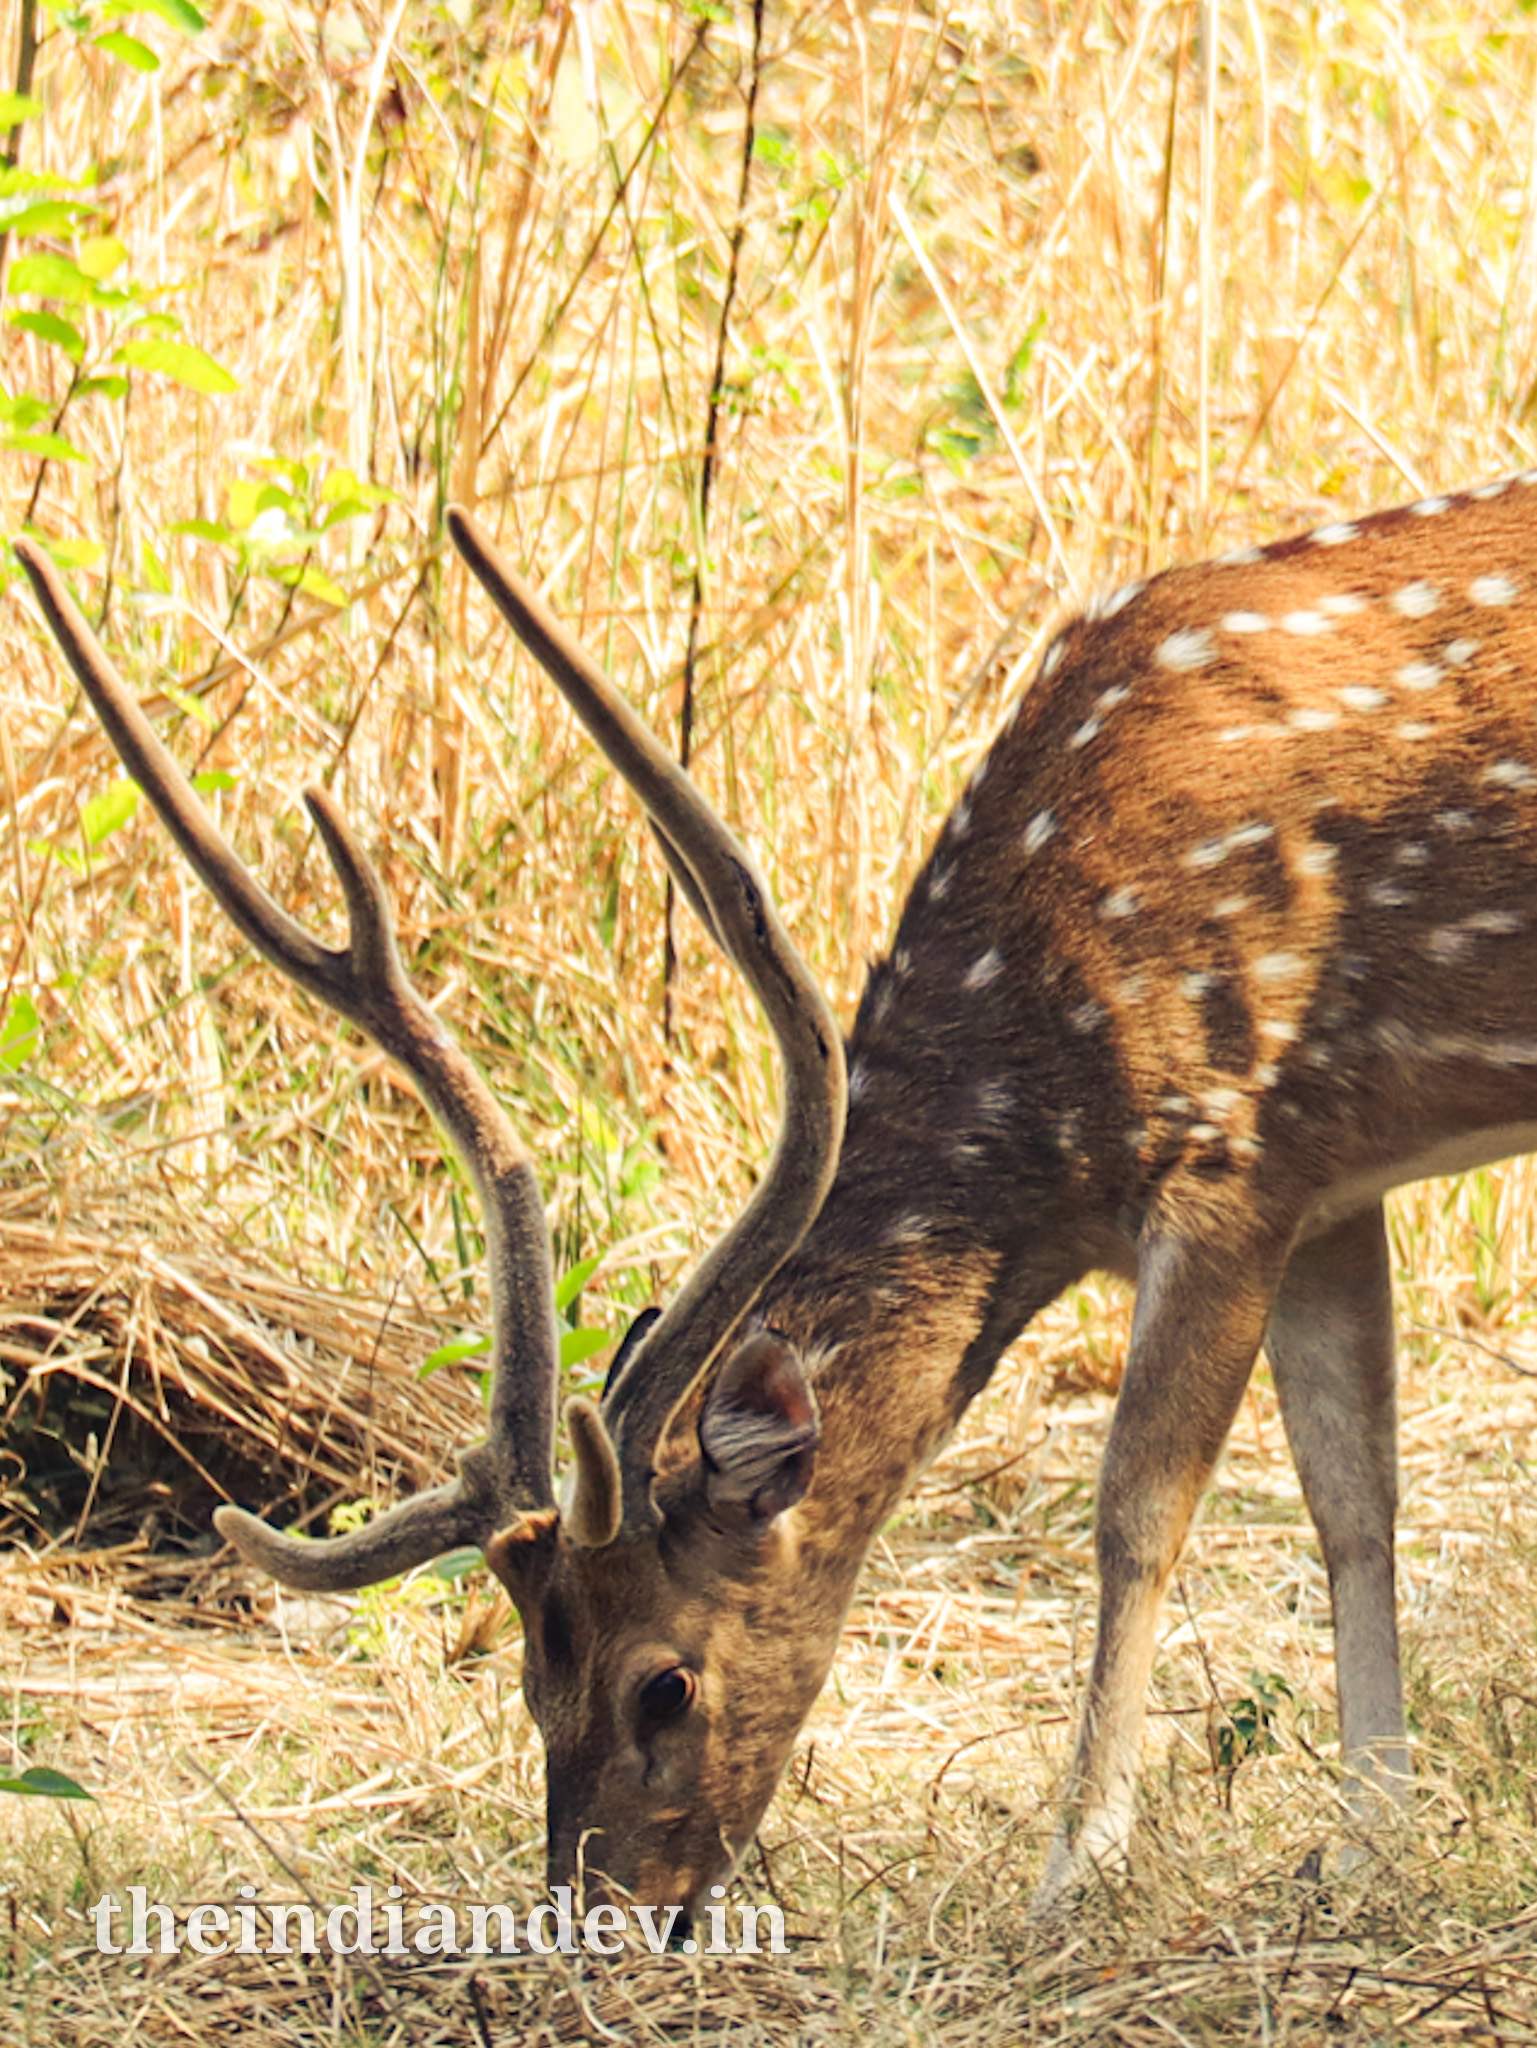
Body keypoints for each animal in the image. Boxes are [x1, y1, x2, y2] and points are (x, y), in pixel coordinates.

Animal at [16, 471, 1537, 1924]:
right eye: (525, 1686)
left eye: (663, 1682)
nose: (602, 1912)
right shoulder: (1329, 1171)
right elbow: (1354, 1498)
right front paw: (1367, 1846)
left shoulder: (1226, 1146)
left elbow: (1138, 1513)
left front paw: (1072, 1877)